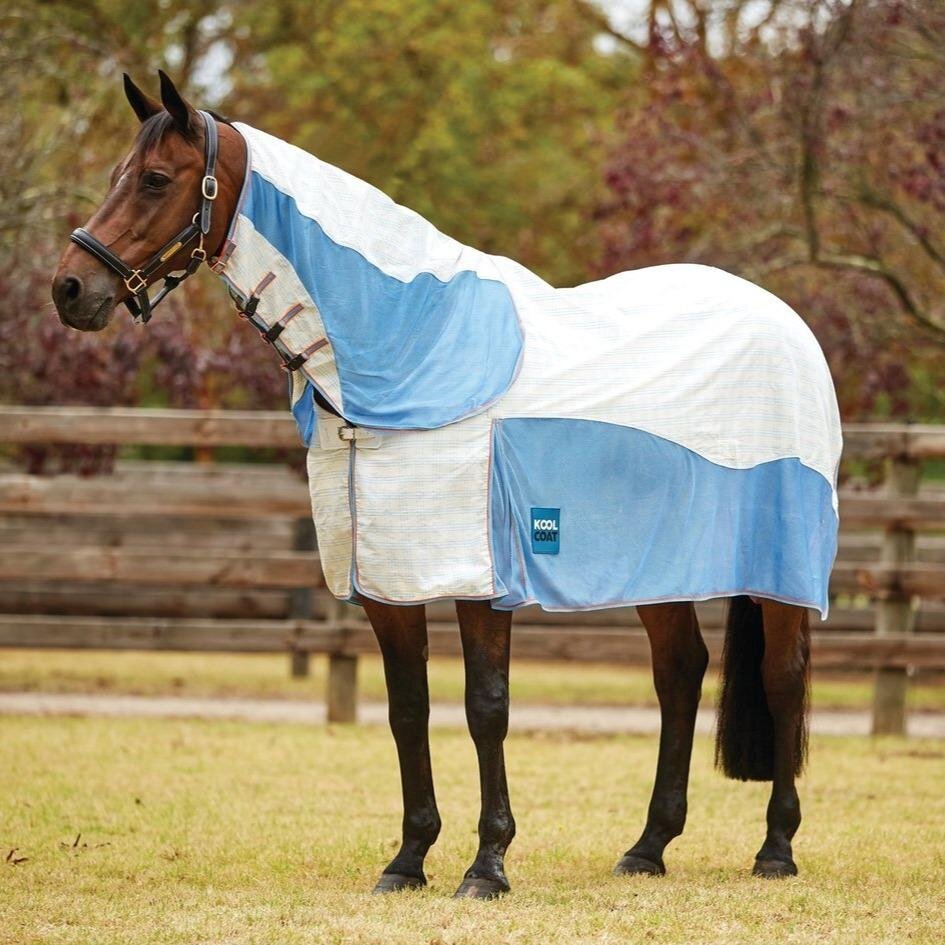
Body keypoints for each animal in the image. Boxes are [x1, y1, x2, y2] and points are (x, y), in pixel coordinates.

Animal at [52, 72, 841, 899]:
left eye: (155, 179)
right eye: (119, 173)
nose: (69, 288)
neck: (411, 345)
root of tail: (786, 324)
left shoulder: (475, 577)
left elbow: (484, 707)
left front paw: (486, 864)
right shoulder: (384, 583)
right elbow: (407, 708)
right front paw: (407, 859)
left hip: (778, 571)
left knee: (782, 678)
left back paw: (775, 848)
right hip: (657, 569)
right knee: (679, 672)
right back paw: (647, 846)